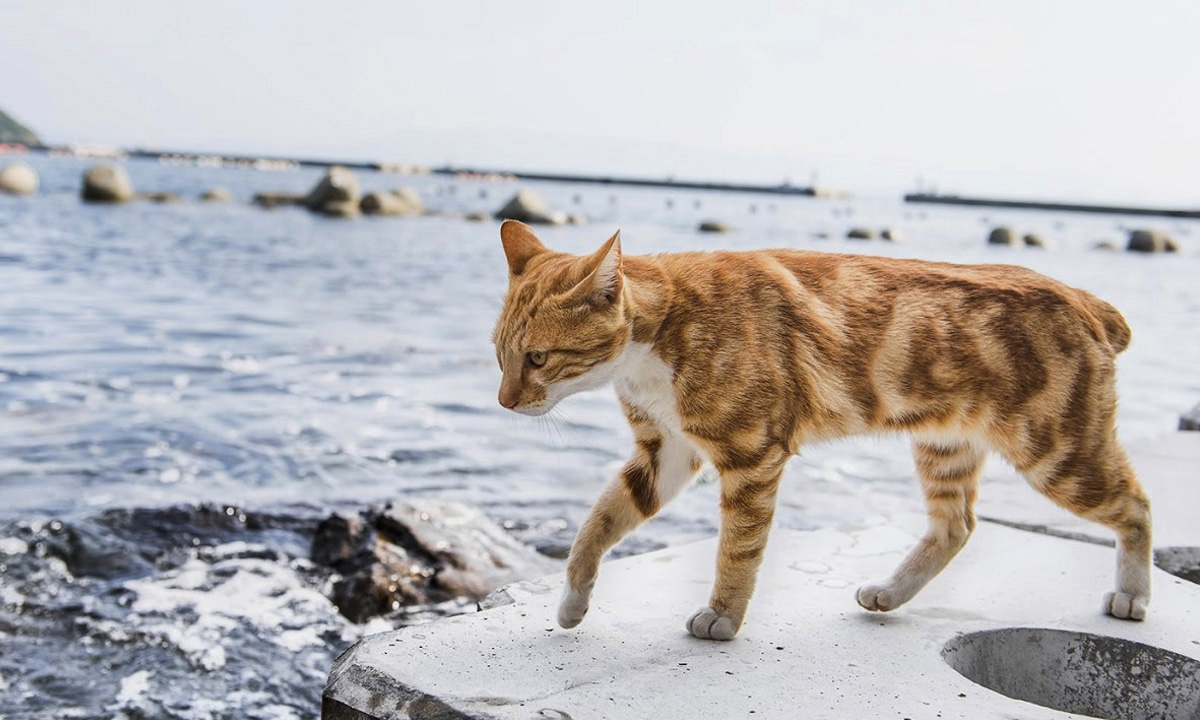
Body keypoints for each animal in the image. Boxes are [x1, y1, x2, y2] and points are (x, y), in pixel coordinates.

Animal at [489, 219, 1152, 643]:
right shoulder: (665, 452)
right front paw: (573, 601)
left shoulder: (751, 456)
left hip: (1058, 452)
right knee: (956, 525)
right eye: (501, 355)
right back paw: (890, 593)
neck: (665, 327)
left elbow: (738, 548)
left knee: (1137, 506)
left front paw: (722, 617)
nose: (503, 401)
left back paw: (1134, 595)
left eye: (539, 358)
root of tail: (1085, 299)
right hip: (946, 445)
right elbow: (596, 523)